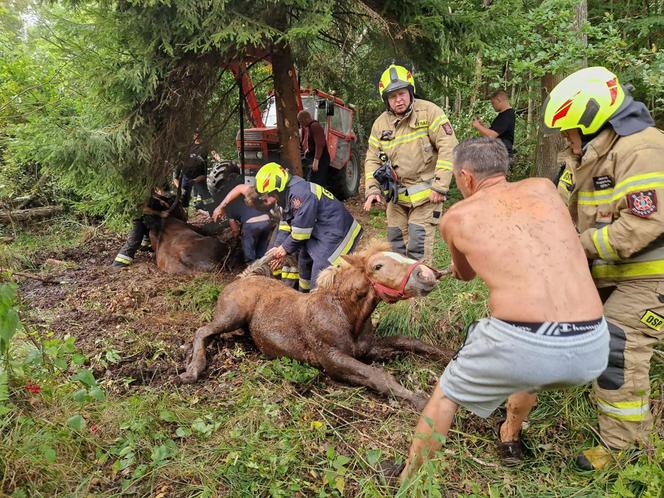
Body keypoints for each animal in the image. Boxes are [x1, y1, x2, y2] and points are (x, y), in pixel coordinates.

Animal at [179, 242, 454, 408]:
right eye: (378, 266)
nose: (428, 275)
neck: (345, 314)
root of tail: (245, 277)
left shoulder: (367, 347)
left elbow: (407, 341)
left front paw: (447, 355)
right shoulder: (331, 359)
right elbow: (378, 375)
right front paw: (418, 399)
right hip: (231, 315)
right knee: (203, 332)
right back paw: (193, 369)